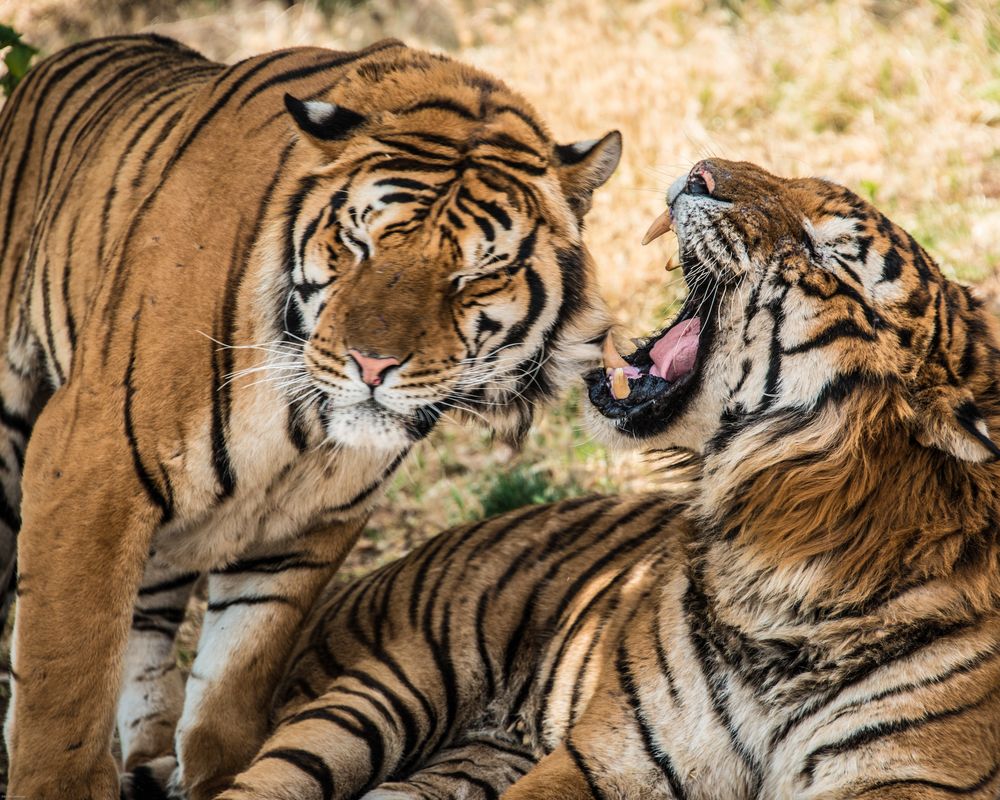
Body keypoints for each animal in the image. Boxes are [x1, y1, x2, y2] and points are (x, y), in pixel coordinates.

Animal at [0, 32, 620, 800]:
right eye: (358, 244)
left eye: (475, 276)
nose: (372, 364)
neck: (302, 426)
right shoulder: (91, 463)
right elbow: (66, 680)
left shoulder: (306, 525)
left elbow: (230, 691)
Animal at [217, 158, 1000, 800]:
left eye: (828, 249)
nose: (702, 169)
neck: (784, 553)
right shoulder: (607, 755)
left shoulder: (909, 776)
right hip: (377, 690)